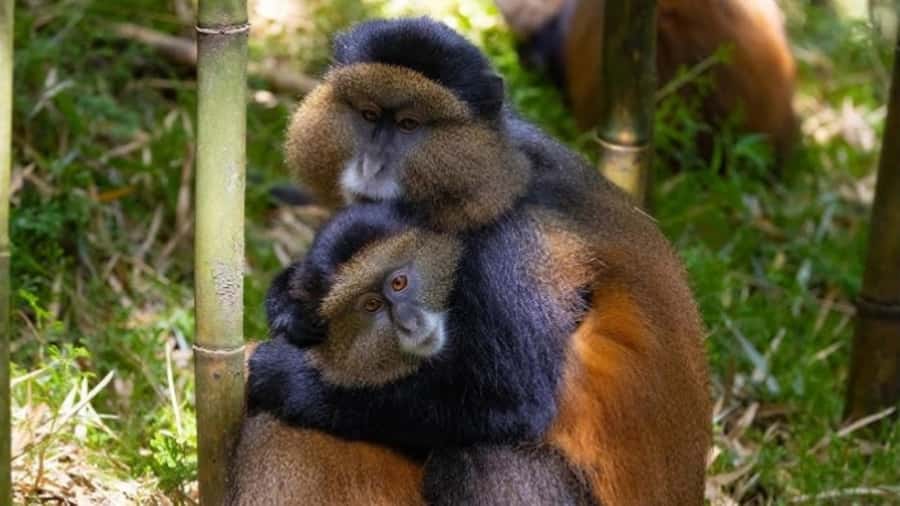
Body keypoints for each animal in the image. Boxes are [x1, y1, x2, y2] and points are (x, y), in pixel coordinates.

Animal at [254, 17, 711, 506]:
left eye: (410, 124)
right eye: (369, 115)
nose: (371, 166)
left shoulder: (510, 253)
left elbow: (512, 404)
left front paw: (287, 379)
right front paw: (289, 300)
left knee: (483, 458)